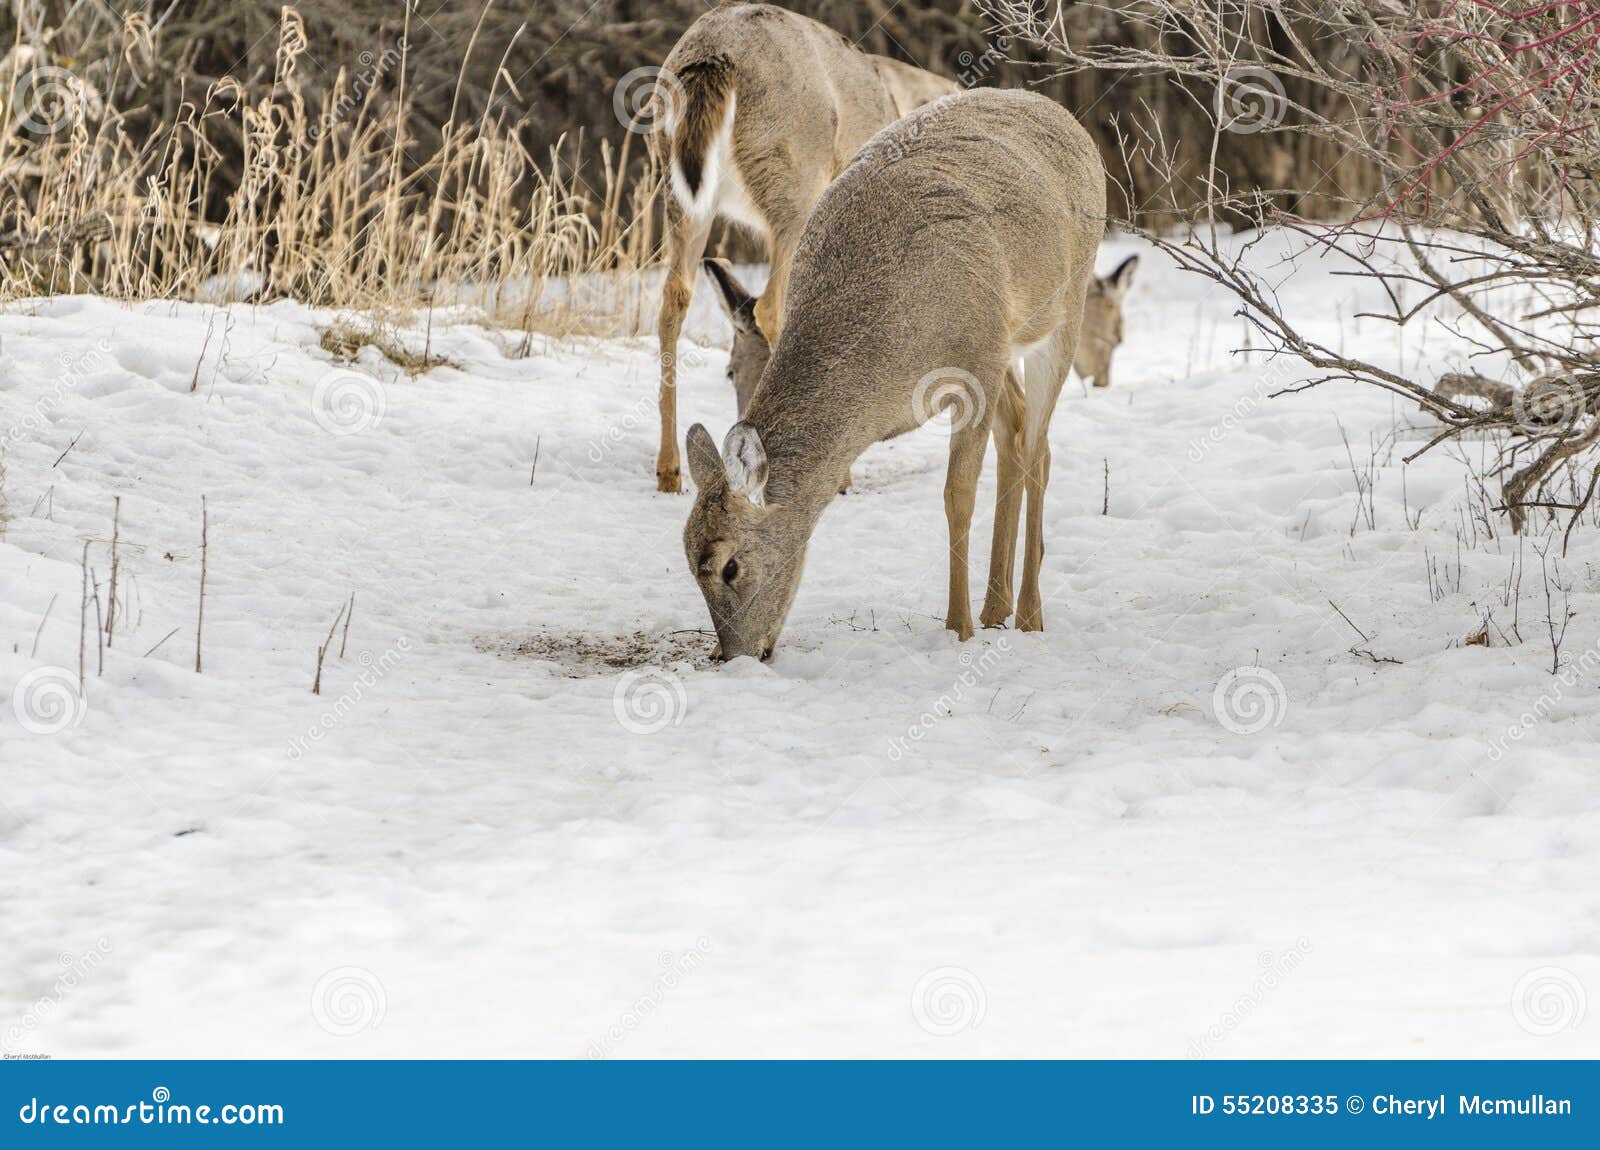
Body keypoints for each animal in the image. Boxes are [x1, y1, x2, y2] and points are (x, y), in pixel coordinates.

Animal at [646, 0, 953, 495]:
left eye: (731, 368)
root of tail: (713, 56)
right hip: (793, 177)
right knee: (773, 307)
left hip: (680, 188)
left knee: (674, 298)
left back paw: (670, 471)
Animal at [684, 87, 1126, 665]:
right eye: (689, 563)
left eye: (730, 565)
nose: (733, 654)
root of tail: (1060, 113)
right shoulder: (985, 359)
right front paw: (972, 621)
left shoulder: (974, 368)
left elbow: (956, 496)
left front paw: (957, 629)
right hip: (1006, 344)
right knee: (1018, 433)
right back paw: (997, 608)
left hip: (1061, 310)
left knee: (1037, 449)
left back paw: (1028, 615)